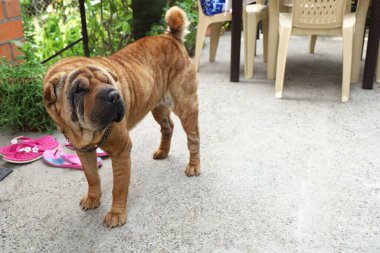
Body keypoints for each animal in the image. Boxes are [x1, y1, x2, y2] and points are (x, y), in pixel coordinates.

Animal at [43, 6, 200, 228]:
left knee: (193, 138)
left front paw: (116, 214)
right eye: (79, 90)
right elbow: (91, 176)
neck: (86, 132)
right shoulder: (83, 151)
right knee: (167, 126)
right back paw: (163, 151)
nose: (114, 95)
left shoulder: (120, 150)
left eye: (107, 81)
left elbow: (118, 187)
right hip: (157, 106)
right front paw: (93, 198)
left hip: (185, 105)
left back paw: (194, 165)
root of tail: (169, 37)